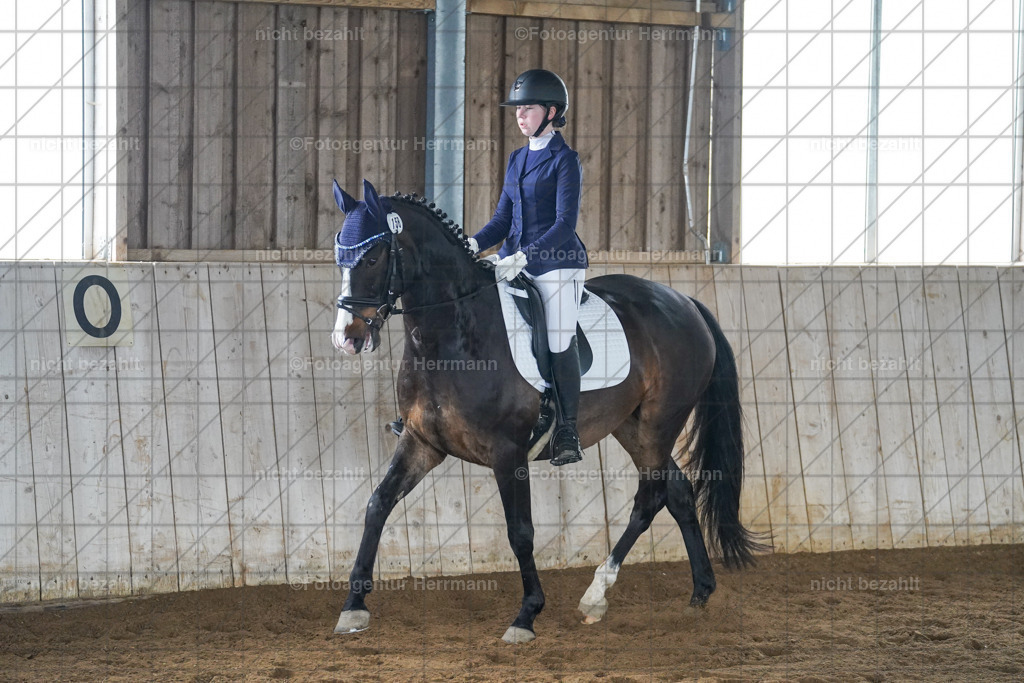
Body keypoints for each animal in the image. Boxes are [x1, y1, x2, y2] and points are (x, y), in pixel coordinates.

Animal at [330, 179, 767, 644]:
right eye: (340, 256)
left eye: (372, 257)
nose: (346, 338)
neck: (453, 333)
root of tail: (686, 302)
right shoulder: (421, 442)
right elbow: (378, 504)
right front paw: (353, 607)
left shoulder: (508, 453)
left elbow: (520, 532)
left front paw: (527, 615)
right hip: (632, 427)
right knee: (679, 492)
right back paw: (701, 590)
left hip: (659, 422)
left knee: (649, 499)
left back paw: (595, 595)